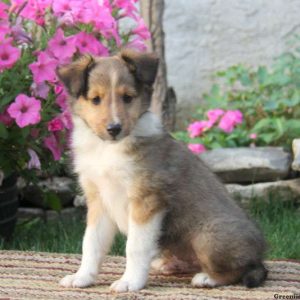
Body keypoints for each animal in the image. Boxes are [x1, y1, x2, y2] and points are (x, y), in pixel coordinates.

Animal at [56, 50, 268, 292]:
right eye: (95, 99)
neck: (107, 149)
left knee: (238, 270)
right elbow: (91, 243)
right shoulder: (99, 200)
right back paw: (170, 264)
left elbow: (134, 246)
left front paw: (130, 282)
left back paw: (207, 278)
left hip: (207, 236)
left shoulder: (147, 200)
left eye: (127, 97)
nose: (114, 128)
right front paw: (82, 277)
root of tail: (260, 255)